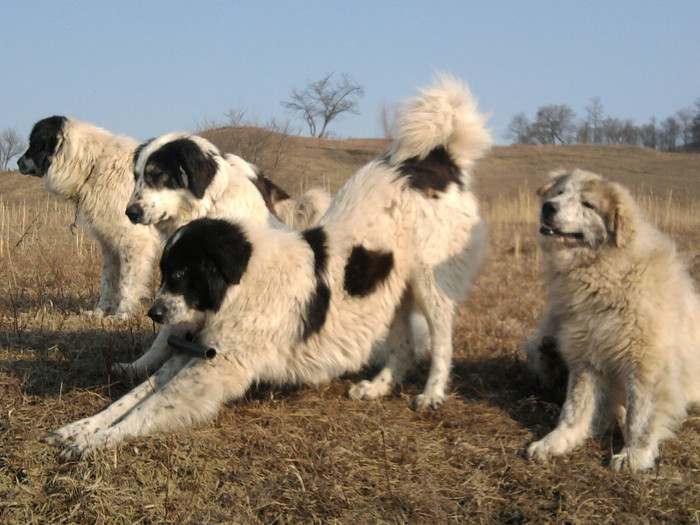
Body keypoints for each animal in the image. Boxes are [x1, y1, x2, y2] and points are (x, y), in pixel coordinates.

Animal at [16, 116, 160, 318]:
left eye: (33, 143)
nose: (18, 162)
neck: (94, 166)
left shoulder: (133, 241)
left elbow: (126, 283)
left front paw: (121, 315)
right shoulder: (109, 245)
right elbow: (107, 282)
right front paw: (100, 312)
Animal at [524, 169, 700, 470]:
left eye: (588, 205)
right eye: (559, 193)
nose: (548, 207)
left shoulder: (645, 364)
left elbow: (640, 418)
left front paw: (634, 457)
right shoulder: (586, 358)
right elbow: (574, 408)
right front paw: (557, 441)